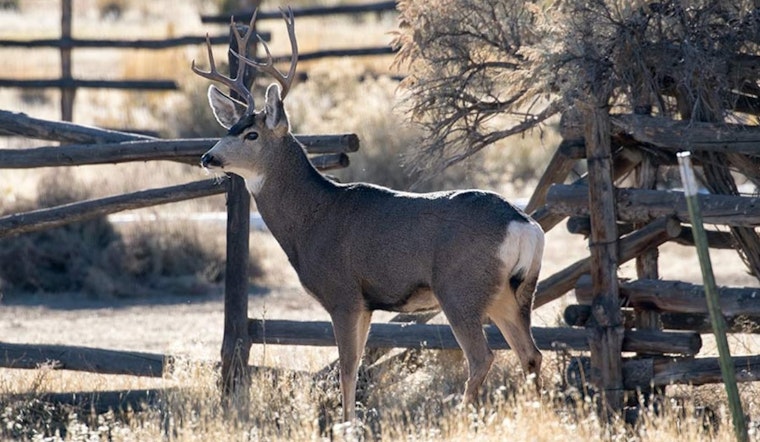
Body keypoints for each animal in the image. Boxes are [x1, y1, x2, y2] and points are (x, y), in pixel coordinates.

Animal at [193, 7, 545, 424]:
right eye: (230, 127)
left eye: (251, 135)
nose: (208, 157)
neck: (313, 219)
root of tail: (524, 225)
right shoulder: (366, 303)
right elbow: (357, 364)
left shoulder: (344, 293)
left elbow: (347, 368)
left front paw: (347, 423)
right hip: (514, 291)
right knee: (531, 354)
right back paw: (543, 413)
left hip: (460, 289)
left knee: (482, 357)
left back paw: (463, 419)